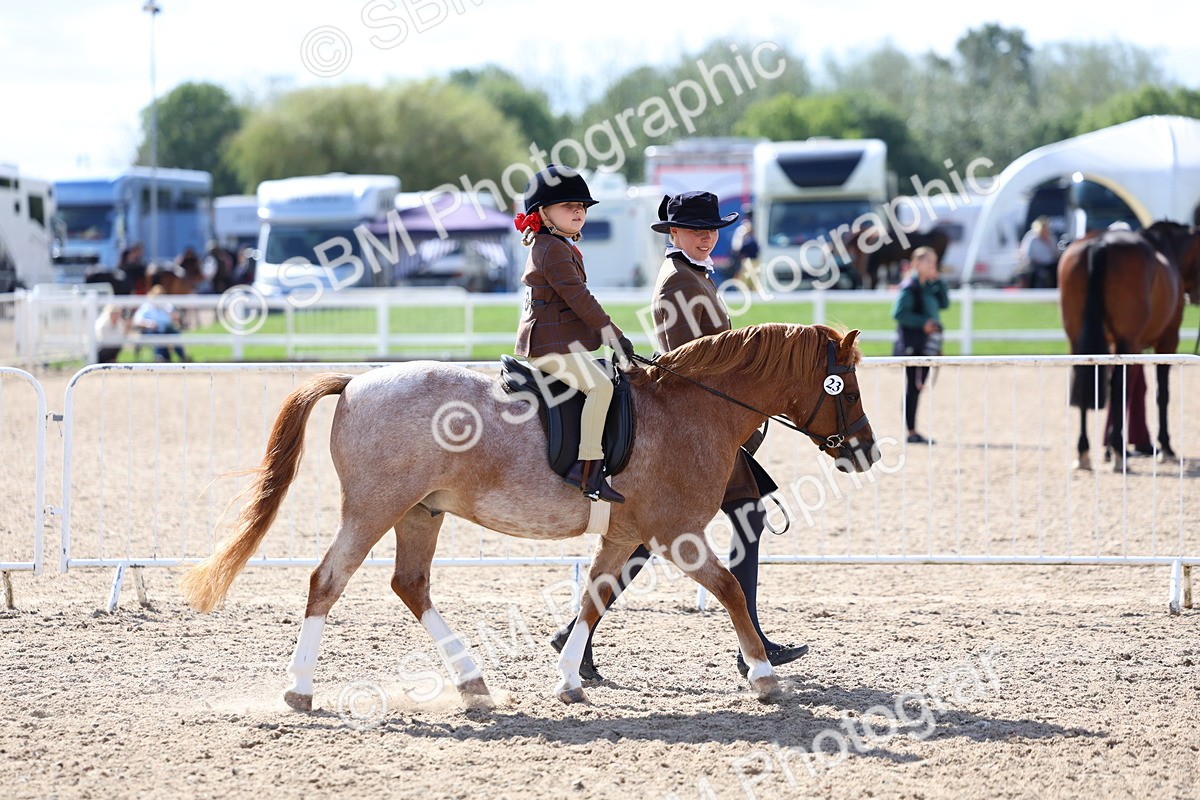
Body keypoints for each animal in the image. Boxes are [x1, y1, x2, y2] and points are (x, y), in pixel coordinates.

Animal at [181, 323, 879, 710]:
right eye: (844, 384)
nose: (866, 451)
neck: (692, 408)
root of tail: (355, 382)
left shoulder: (627, 533)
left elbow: (596, 597)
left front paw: (569, 679)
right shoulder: (675, 533)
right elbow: (731, 589)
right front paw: (763, 675)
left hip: (420, 513)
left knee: (410, 585)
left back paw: (473, 684)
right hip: (375, 508)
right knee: (328, 580)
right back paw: (299, 690)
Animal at [1060, 220, 1200, 470]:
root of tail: (1100, 243)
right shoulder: (1167, 340)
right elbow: (1160, 393)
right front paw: (1165, 447)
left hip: (1076, 339)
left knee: (1085, 385)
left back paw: (1085, 451)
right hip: (1129, 340)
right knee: (1118, 388)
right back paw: (1118, 453)